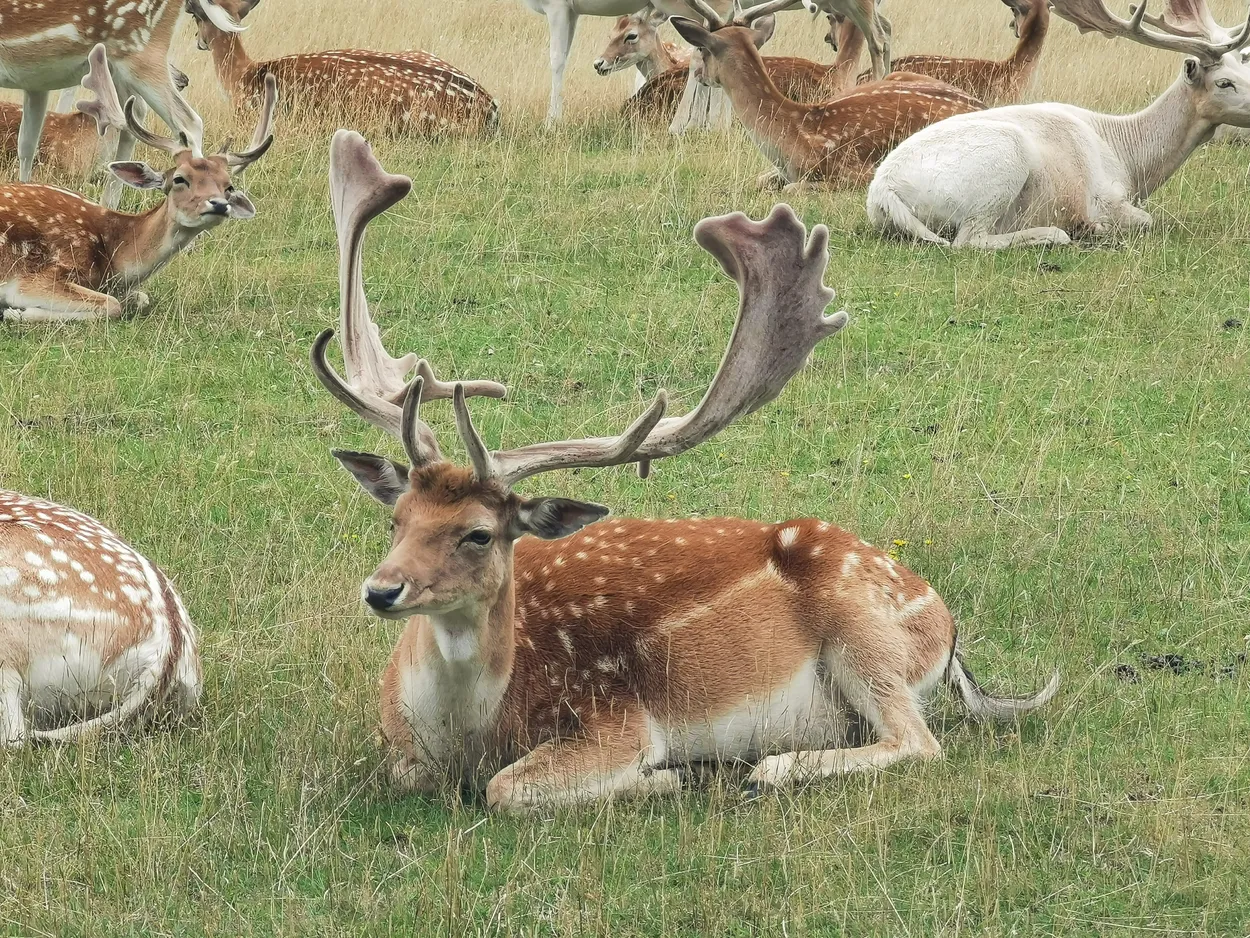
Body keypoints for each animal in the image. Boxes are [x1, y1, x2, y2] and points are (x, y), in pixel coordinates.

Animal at [0, 46, 275, 323]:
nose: (218, 204)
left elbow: (140, 298)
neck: (115, 262)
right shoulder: (36, 277)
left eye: (228, 186)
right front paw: (17, 312)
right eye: (179, 179)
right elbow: (112, 305)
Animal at [312, 130, 1060, 810]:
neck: (469, 735)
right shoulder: (400, 749)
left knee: (917, 740)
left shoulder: (616, 721)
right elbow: (411, 775)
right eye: (396, 518)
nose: (382, 590)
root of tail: (948, 628)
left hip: (865, 631)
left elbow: (507, 789)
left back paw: (764, 769)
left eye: (479, 533)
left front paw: (672, 776)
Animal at [669, 1, 985, 191]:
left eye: (702, 50)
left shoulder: (851, 173)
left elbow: (792, 189)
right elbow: (759, 179)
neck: (791, 134)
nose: (700, 74)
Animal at [867, 0, 1250, 249]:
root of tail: (882, 192)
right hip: (1003, 163)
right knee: (968, 240)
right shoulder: (1103, 197)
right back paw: (1059, 233)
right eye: (1224, 83)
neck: (1131, 161)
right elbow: (1145, 220)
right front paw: (1095, 228)